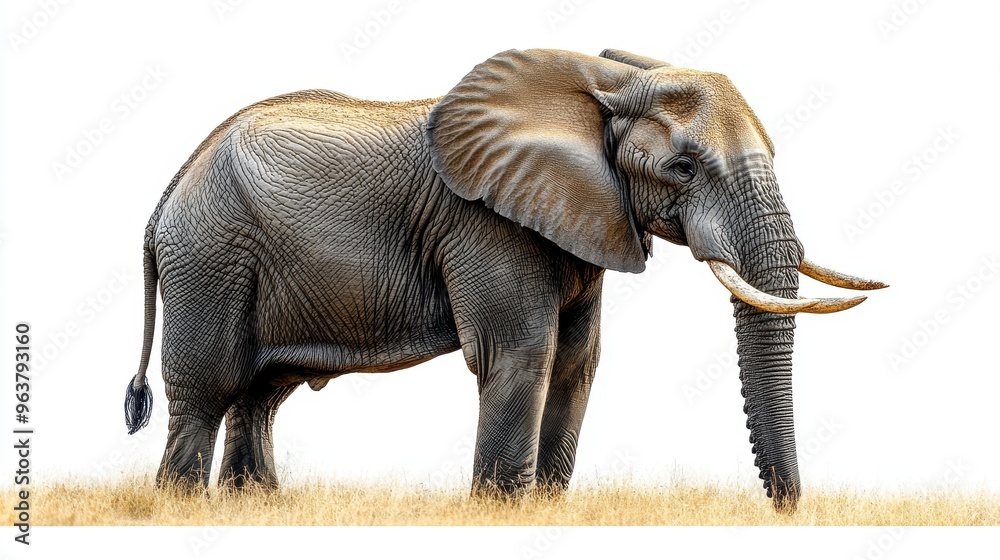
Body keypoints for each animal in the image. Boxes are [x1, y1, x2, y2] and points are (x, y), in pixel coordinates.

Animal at [123, 48, 884, 510]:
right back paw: (182, 508)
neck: (602, 84)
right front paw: (502, 511)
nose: (785, 511)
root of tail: (166, 195)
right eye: (683, 168)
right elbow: (522, 354)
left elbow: (578, 360)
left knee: (260, 395)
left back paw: (257, 505)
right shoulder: (485, 224)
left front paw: (544, 509)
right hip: (211, 258)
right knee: (209, 390)